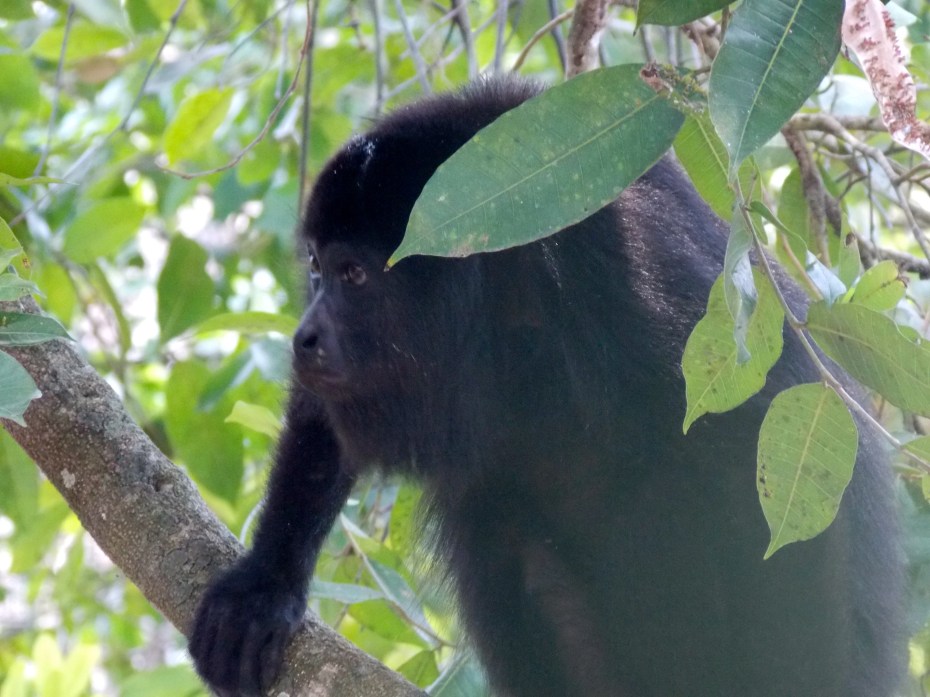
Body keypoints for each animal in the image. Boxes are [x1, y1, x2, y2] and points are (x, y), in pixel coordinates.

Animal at [189, 76, 903, 697]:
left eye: (354, 275)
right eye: (314, 265)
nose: (304, 335)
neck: (499, 298)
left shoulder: (631, 280)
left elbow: (763, 455)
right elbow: (321, 417)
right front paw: (265, 588)